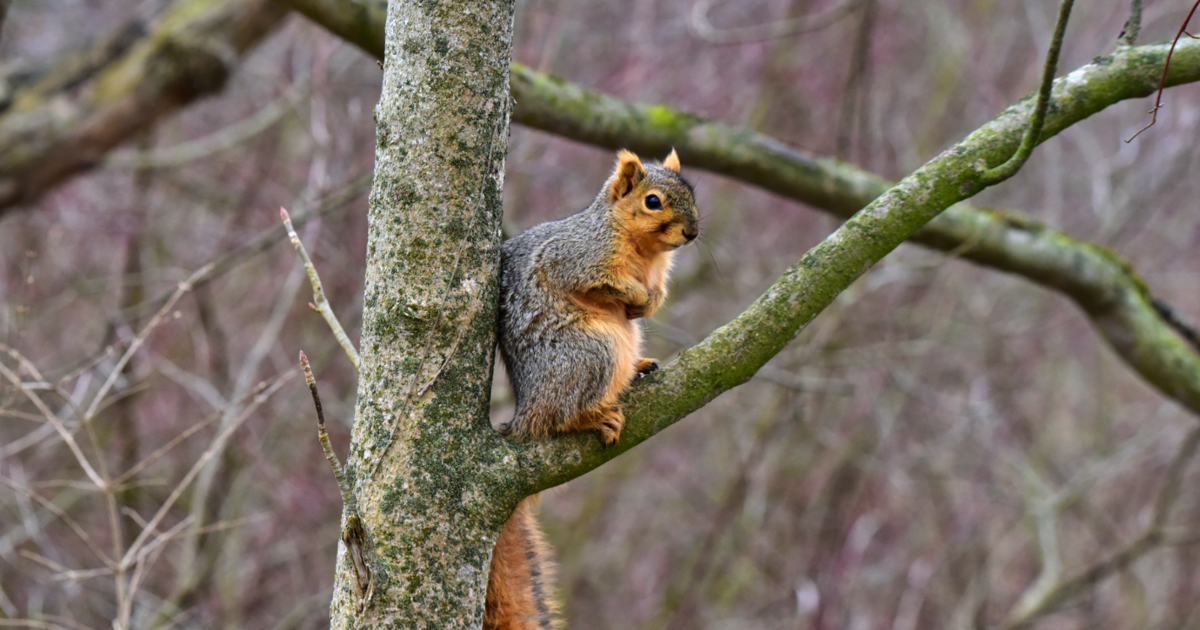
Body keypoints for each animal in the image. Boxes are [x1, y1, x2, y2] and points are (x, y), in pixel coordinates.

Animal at [484, 149, 699, 629]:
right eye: (653, 202)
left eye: (693, 194)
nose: (693, 232)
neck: (644, 251)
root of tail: (524, 414)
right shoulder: (578, 257)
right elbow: (599, 280)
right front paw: (633, 294)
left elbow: (657, 293)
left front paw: (649, 301)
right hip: (590, 351)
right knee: (560, 417)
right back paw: (594, 415)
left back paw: (638, 368)